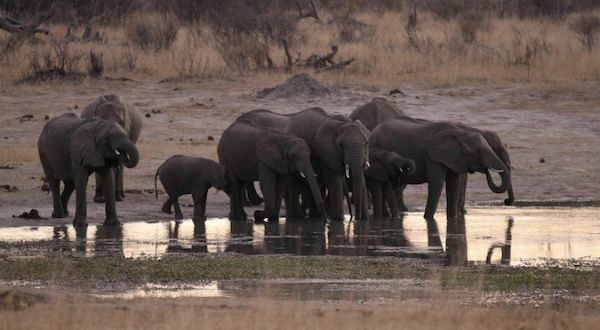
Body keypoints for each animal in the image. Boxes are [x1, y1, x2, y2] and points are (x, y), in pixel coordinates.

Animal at [236, 108, 370, 220]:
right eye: (341, 145)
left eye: (366, 143)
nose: (355, 218)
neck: (340, 123)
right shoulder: (325, 152)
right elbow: (333, 181)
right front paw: (338, 219)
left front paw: (363, 219)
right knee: (295, 182)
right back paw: (297, 217)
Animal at [370, 117, 510, 223]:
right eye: (479, 151)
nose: (506, 201)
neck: (460, 133)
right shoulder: (433, 157)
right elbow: (437, 183)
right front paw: (427, 219)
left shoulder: (454, 158)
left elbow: (454, 184)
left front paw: (452, 219)